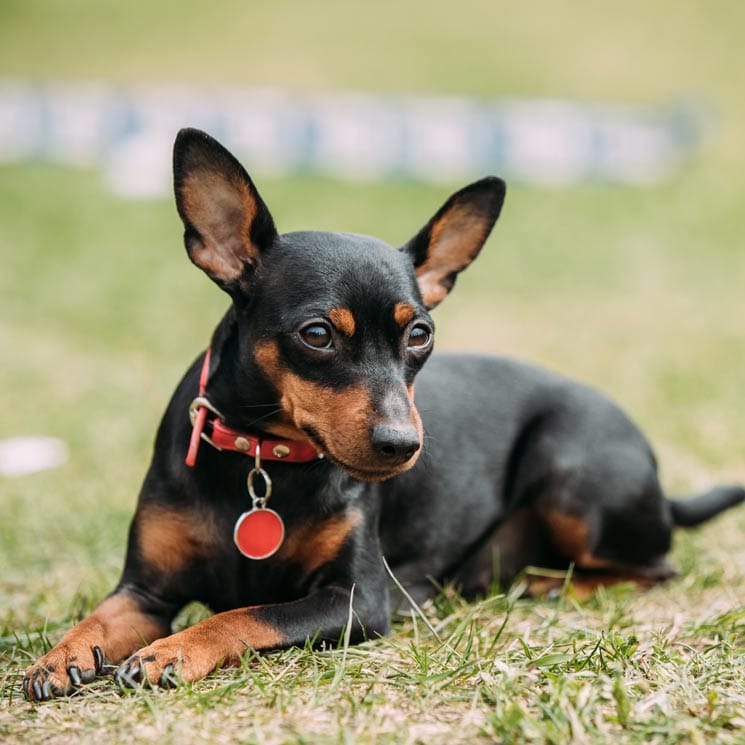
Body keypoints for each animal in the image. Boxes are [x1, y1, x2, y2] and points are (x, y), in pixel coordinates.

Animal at [23, 126, 740, 696]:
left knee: (655, 567)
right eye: (316, 334)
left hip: (571, 475)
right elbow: (99, 616)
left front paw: (170, 651)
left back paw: (549, 583)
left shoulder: (356, 600)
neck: (263, 459)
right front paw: (59, 656)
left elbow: (244, 614)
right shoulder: (144, 590)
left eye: (419, 334)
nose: (401, 445)